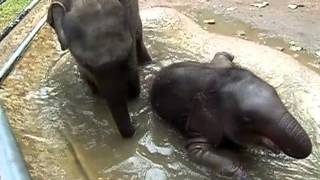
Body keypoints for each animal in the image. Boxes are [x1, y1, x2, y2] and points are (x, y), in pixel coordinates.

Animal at [151, 51, 312, 179]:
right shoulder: (200, 117)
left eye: (276, 92)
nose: (280, 149)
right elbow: (197, 151)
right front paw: (246, 174)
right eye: (247, 119)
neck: (218, 80)